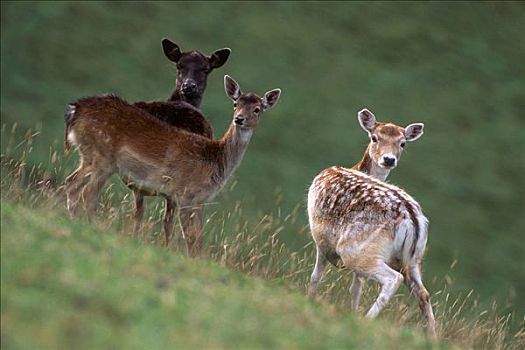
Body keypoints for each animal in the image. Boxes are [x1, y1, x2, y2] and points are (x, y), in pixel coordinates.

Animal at [63, 75, 280, 256]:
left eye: (257, 109)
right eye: (236, 103)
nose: (239, 119)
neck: (216, 161)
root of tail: (75, 109)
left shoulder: (201, 200)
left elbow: (199, 237)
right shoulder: (185, 194)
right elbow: (190, 237)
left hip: (89, 156)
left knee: (71, 184)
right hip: (104, 157)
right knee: (88, 193)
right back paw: (95, 227)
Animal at [304, 110, 436, 340]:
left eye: (403, 143)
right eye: (375, 137)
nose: (389, 159)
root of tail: (412, 221)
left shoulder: (322, 240)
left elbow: (316, 277)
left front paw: (310, 301)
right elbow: (355, 288)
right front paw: (352, 313)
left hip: (356, 248)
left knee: (393, 280)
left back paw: (367, 320)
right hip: (412, 260)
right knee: (423, 294)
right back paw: (434, 337)